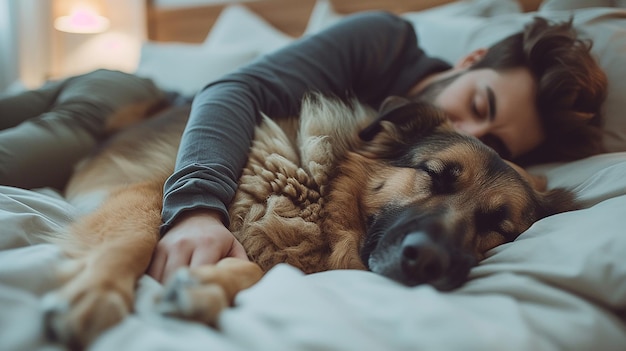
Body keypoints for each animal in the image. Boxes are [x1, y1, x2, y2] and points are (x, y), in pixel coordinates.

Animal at [39, 95, 576, 350]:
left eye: (500, 227)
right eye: (435, 175)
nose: (426, 262)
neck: (323, 198)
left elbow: (258, 270)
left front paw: (203, 288)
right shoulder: (153, 192)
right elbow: (133, 242)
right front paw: (97, 294)